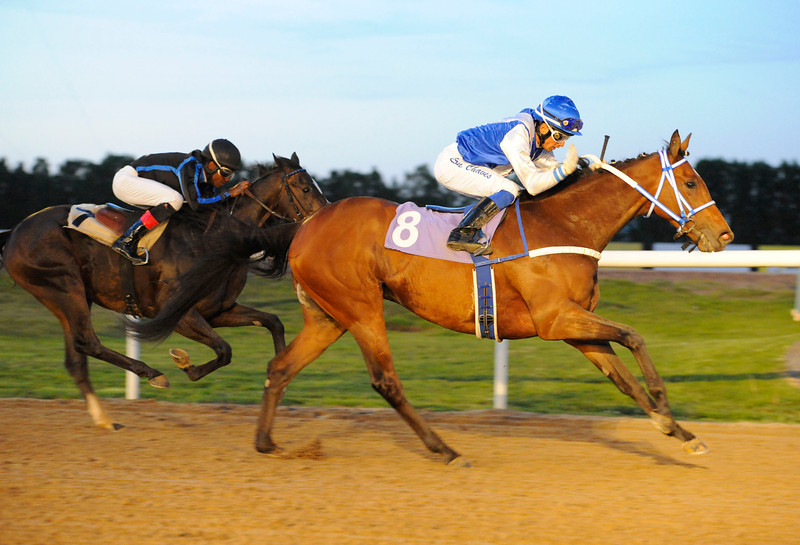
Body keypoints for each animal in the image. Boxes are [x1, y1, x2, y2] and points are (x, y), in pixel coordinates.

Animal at [0, 152, 328, 430]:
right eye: (305, 188)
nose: (324, 217)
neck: (217, 238)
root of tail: (15, 231)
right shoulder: (178, 314)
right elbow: (225, 350)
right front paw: (183, 362)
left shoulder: (219, 310)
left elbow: (273, 322)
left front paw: (281, 381)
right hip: (65, 287)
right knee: (88, 342)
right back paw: (153, 374)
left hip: (66, 298)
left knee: (76, 359)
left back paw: (104, 418)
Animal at [255, 130, 732, 462]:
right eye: (691, 182)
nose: (725, 235)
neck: (566, 224)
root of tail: (309, 224)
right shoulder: (555, 319)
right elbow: (634, 336)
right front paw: (665, 406)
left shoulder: (573, 326)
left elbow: (623, 379)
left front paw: (679, 432)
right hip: (361, 307)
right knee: (385, 380)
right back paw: (444, 450)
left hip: (329, 316)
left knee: (280, 367)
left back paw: (266, 442)